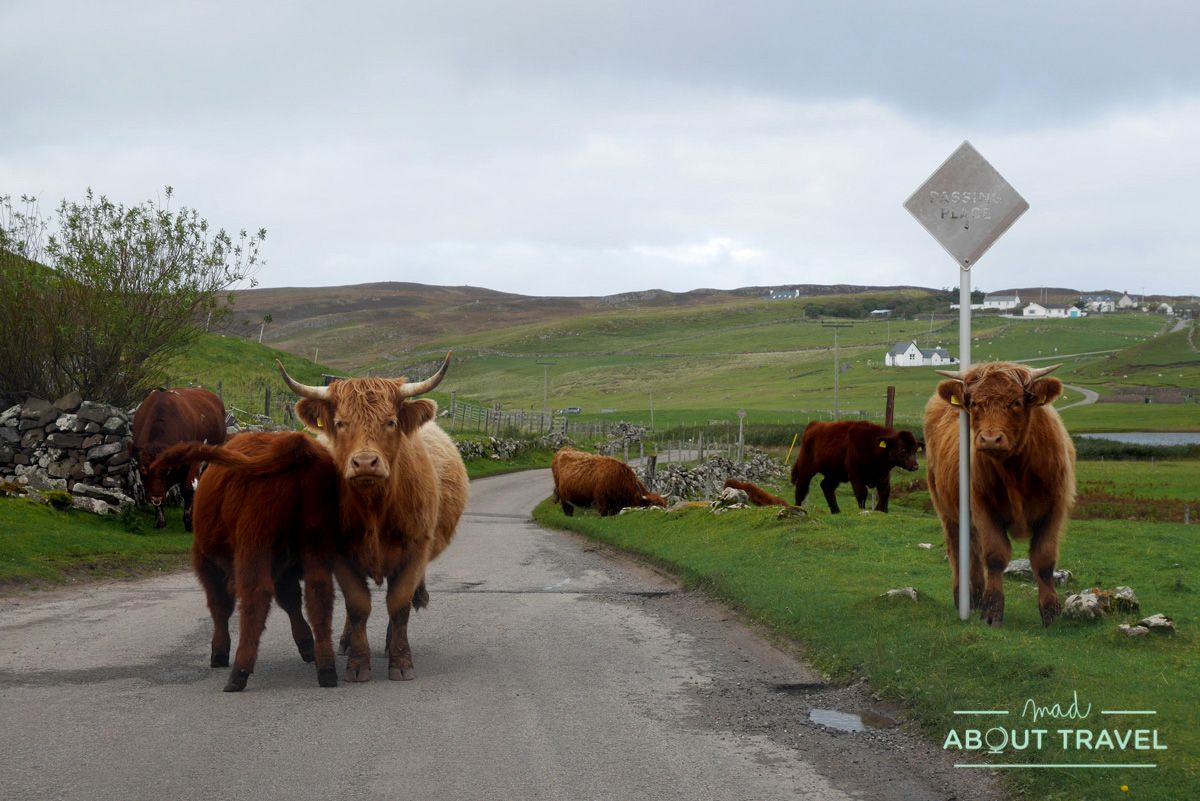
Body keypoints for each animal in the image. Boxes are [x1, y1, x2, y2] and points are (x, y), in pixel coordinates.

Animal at [130, 387, 226, 530]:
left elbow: (188, 490)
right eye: (142, 469)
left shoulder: (191, 463)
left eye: (167, 470)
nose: (156, 498)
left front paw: (189, 521)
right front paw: (160, 520)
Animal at [150, 432, 341, 691]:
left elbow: (220, 606)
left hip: (252, 549)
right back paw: (326, 668)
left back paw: (239, 672)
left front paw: (219, 652)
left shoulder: (206, 564)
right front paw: (306, 645)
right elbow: (290, 601)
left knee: (255, 597)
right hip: (315, 546)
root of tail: (294, 443)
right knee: (319, 594)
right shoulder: (286, 570)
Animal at [277, 355, 469, 683]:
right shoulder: (339, 553)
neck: (374, 508)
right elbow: (357, 605)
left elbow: (399, 603)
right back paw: (344, 642)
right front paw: (357, 663)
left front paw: (401, 661)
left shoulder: (416, 549)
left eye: (390, 422)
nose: (365, 462)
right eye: (340, 423)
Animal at [790, 420, 920, 514]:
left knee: (826, 486)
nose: (915, 465)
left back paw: (836, 511)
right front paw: (863, 510)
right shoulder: (856, 474)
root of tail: (814, 424)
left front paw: (881, 510)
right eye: (903, 450)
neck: (872, 444)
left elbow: (885, 492)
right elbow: (862, 493)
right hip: (806, 468)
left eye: (915, 450)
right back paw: (797, 509)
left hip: (835, 474)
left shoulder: (883, 476)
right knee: (801, 487)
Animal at [925, 362, 1075, 627]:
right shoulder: (984, 508)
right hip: (947, 510)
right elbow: (995, 556)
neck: (1015, 470)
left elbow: (1044, 560)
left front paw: (1050, 613)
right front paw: (992, 611)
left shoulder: (1054, 510)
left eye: (1015, 402)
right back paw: (964, 598)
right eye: (974, 403)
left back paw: (975, 596)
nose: (989, 439)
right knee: (959, 549)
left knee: (972, 552)